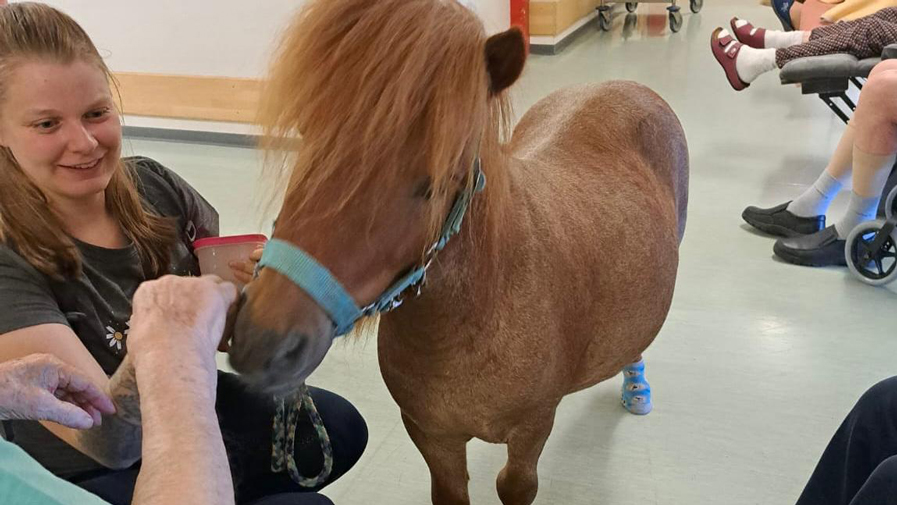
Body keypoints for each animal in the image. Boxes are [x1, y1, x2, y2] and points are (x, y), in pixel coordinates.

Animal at [228, 0, 689, 503]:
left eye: (433, 183)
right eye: (308, 135)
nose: (261, 340)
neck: (479, 311)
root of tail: (621, 85)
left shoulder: (531, 431)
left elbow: (515, 484)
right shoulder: (433, 436)